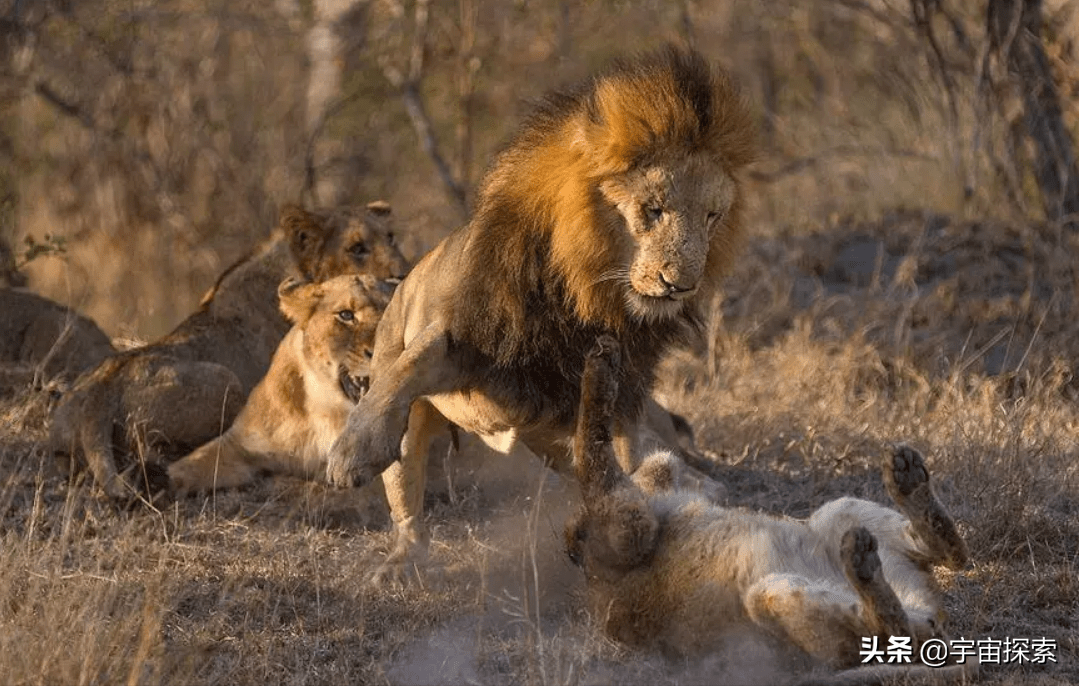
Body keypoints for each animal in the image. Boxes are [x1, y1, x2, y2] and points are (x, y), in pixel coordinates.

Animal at [569, 338, 975, 686]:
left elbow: (612, 457)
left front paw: (603, 363)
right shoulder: (625, 527)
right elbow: (591, 454)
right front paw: (599, 370)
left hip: (839, 513)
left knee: (949, 558)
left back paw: (907, 482)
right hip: (770, 594)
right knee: (890, 631)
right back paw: (864, 564)